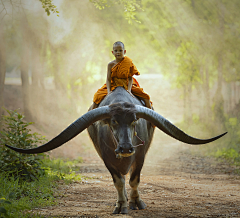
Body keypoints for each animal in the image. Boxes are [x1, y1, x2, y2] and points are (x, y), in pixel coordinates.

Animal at [5, 86, 227, 214]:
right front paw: (121, 205)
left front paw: (136, 202)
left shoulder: (140, 155)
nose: (126, 147)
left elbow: (134, 179)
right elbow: (118, 181)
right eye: (113, 121)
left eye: (134, 121)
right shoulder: (106, 158)